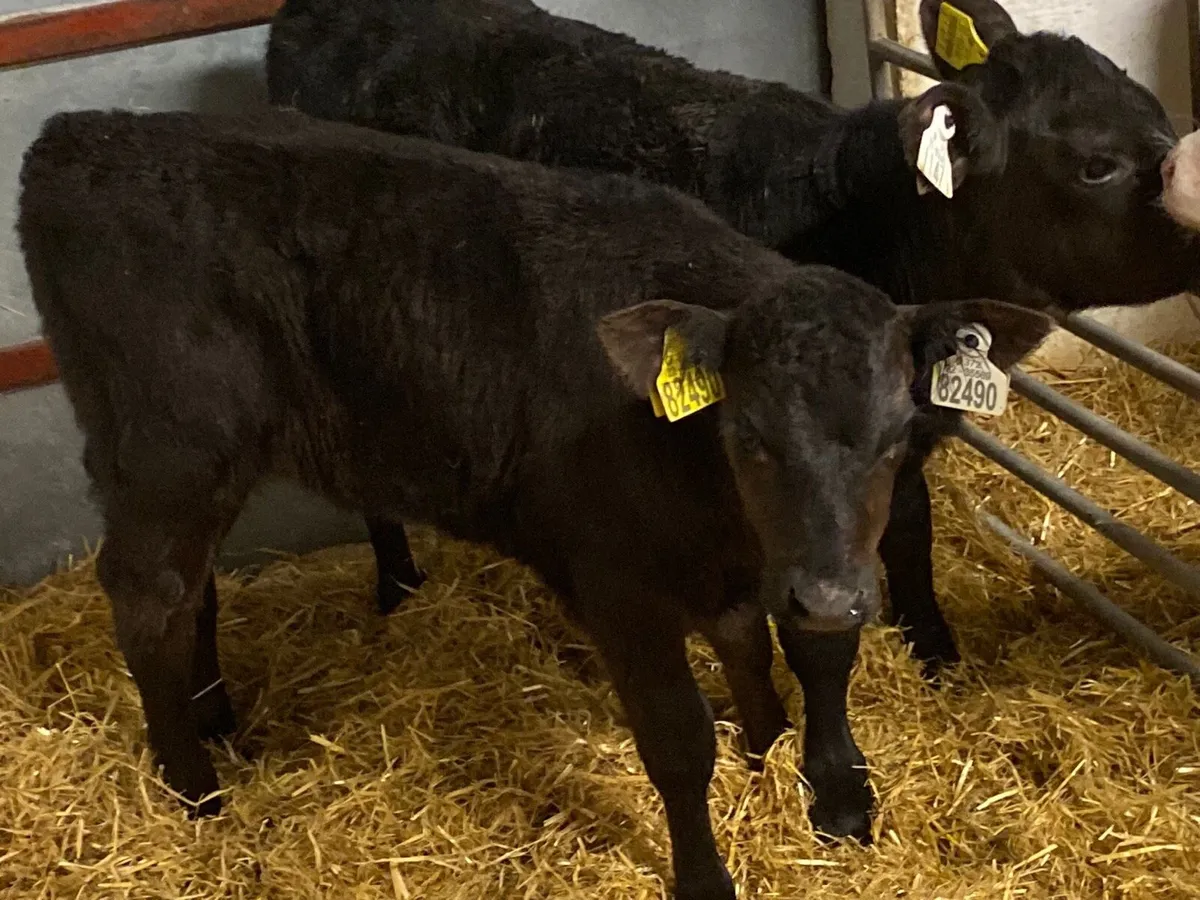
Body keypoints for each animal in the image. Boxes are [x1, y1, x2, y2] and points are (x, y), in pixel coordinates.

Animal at [19, 107, 1050, 899]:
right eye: (750, 436)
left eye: (895, 438)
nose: (834, 597)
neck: (713, 506)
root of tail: (78, 135)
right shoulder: (618, 585)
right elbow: (679, 743)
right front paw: (706, 875)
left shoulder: (749, 568)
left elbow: (757, 647)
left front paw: (771, 755)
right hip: (166, 450)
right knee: (149, 595)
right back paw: (194, 791)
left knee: (191, 589)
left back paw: (216, 723)